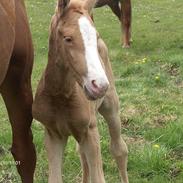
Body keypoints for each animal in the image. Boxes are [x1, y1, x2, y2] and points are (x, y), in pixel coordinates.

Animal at [32, 0, 128, 182]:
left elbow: (99, 177)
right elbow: (55, 178)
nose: (100, 86)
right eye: (68, 38)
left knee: (119, 150)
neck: (61, 95)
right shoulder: (53, 134)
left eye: (96, 37)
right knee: (82, 155)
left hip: (111, 107)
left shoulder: (90, 132)